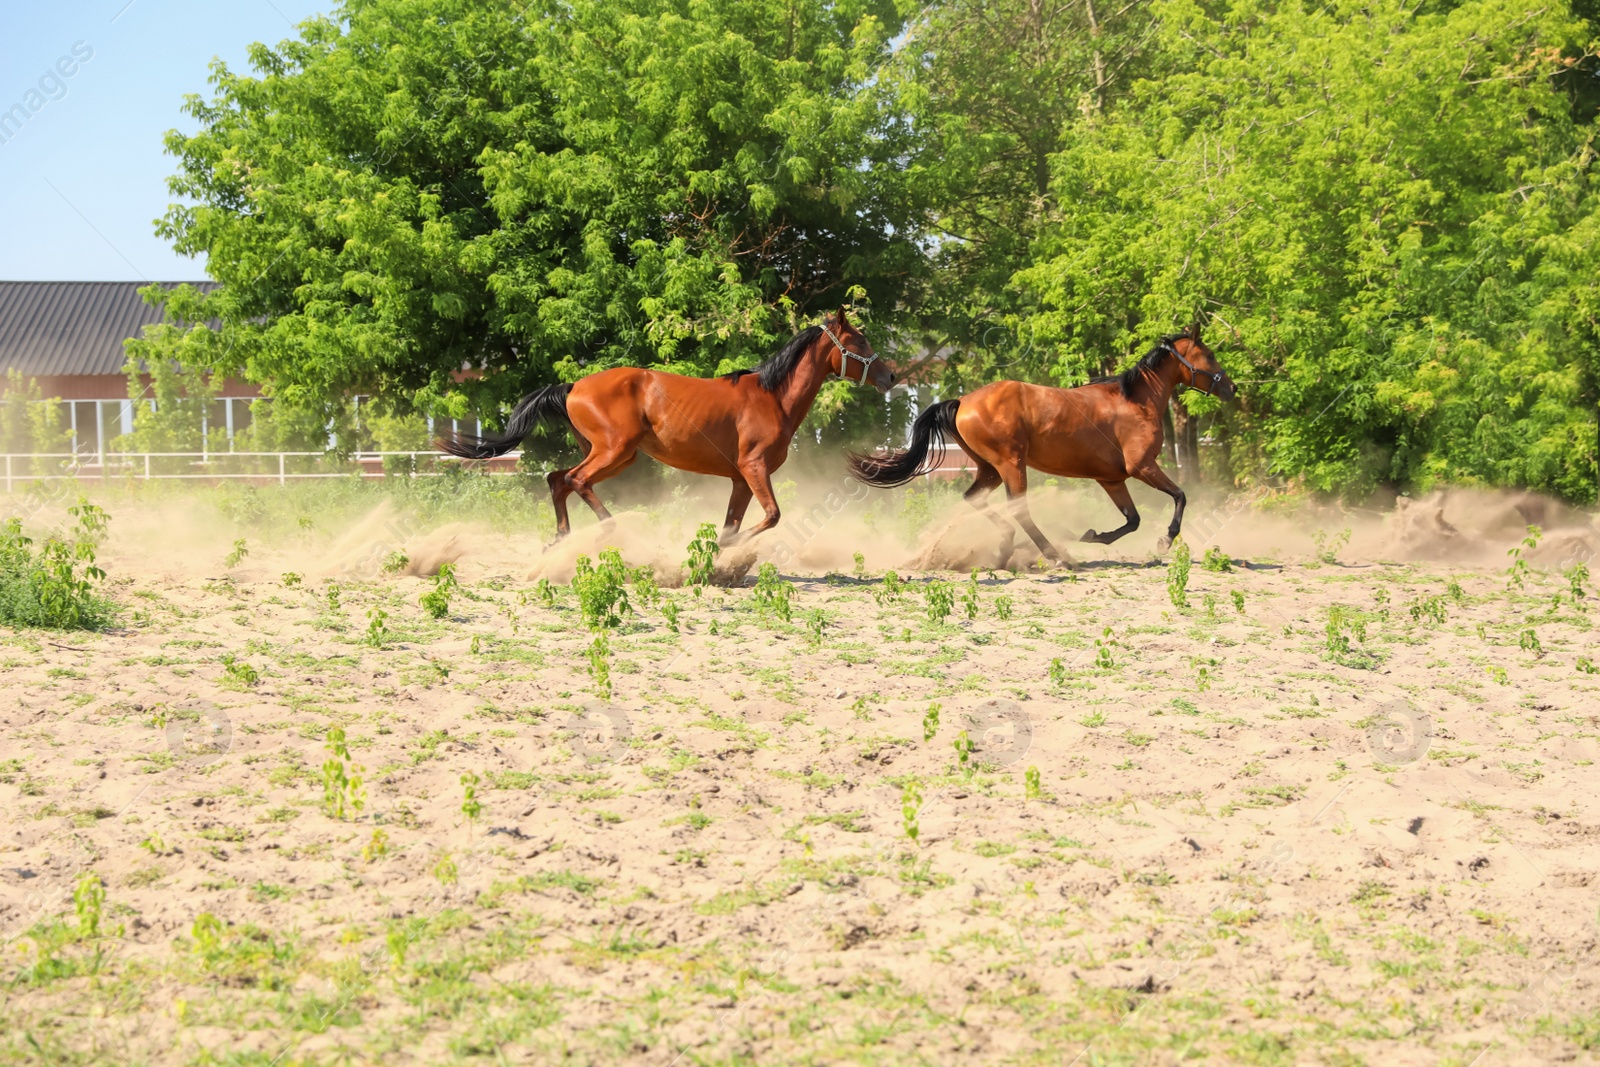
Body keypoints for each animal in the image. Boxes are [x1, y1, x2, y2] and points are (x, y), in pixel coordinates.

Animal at [432, 308, 896, 543]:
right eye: (859, 341)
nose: (891, 376)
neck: (771, 397)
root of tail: (573, 386)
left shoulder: (740, 479)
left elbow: (733, 525)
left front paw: (718, 560)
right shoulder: (754, 469)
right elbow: (771, 517)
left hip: (613, 455)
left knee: (558, 479)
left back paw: (562, 539)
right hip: (615, 451)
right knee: (575, 481)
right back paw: (612, 529)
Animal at [851, 323, 1235, 566]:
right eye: (1210, 356)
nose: (1231, 388)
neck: (1135, 402)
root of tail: (962, 401)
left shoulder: (1113, 479)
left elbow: (1133, 520)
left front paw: (1091, 535)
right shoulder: (1142, 467)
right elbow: (1179, 496)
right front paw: (1165, 540)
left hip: (991, 469)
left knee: (977, 500)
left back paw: (1007, 548)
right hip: (1011, 465)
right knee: (1020, 511)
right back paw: (1053, 555)